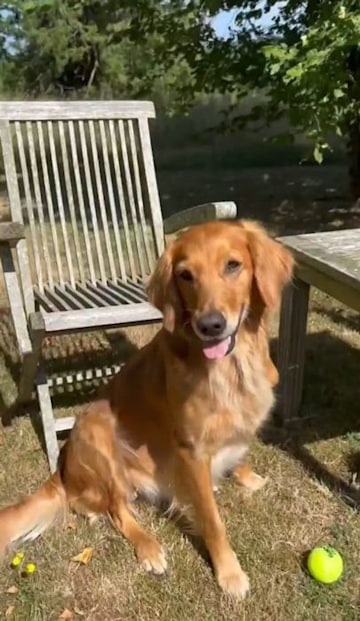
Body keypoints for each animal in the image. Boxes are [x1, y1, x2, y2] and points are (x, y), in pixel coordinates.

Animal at [0, 220, 292, 600]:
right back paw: (148, 547)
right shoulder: (191, 449)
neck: (235, 366)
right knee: (115, 509)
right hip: (98, 432)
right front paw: (229, 574)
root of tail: (62, 468)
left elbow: (239, 451)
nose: (210, 325)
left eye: (233, 265)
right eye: (186, 275)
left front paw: (246, 476)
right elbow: (213, 523)